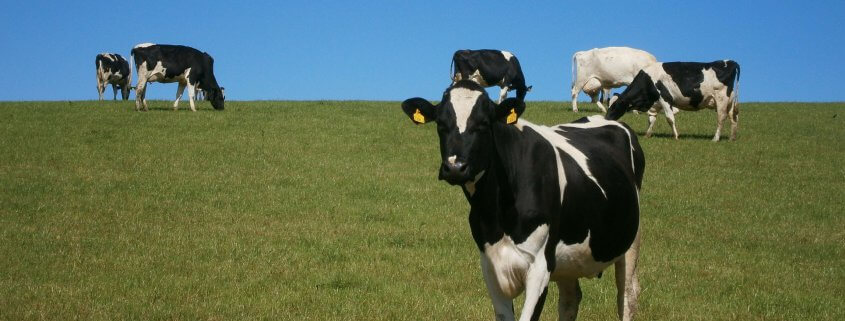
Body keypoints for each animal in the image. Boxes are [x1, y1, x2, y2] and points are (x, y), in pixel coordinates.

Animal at [398, 79, 644, 320]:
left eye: (484, 123)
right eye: (440, 124)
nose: (455, 167)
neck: (496, 212)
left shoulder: (540, 266)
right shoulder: (490, 264)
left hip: (631, 242)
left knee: (626, 297)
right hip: (569, 260)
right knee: (570, 300)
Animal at [604, 60, 740, 140]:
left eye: (614, 106)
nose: (606, 118)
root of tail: (730, 61)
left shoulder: (665, 98)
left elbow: (670, 118)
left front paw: (676, 136)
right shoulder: (654, 104)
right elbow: (651, 119)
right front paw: (647, 135)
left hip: (721, 99)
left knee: (721, 118)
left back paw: (715, 139)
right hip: (730, 101)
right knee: (733, 118)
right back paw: (732, 138)